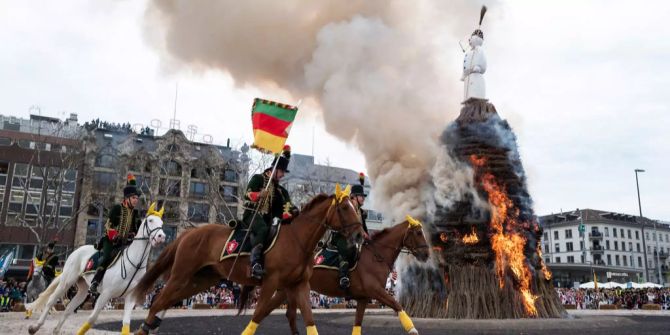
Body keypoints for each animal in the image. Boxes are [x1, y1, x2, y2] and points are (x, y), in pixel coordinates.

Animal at [27, 202, 167, 335]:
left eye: (161, 223)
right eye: (150, 220)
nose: (161, 237)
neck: (134, 263)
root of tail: (76, 251)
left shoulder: (130, 298)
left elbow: (126, 324)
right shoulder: (105, 294)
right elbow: (91, 319)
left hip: (83, 289)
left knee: (69, 309)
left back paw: (56, 330)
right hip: (67, 281)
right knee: (51, 300)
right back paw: (34, 327)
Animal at [133, 186, 368, 335]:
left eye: (354, 208)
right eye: (344, 208)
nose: (360, 235)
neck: (297, 239)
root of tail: (189, 233)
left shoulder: (299, 285)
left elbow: (309, 320)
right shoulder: (270, 282)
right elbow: (258, 314)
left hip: (200, 280)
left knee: (165, 302)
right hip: (181, 275)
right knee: (158, 301)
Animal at [268, 217, 430, 334]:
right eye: (418, 233)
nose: (427, 254)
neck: (375, 256)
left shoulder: (364, 298)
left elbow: (358, 323)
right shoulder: (376, 291)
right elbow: (397, 304)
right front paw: (412, 329)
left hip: (288, 290)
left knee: (287, 313)